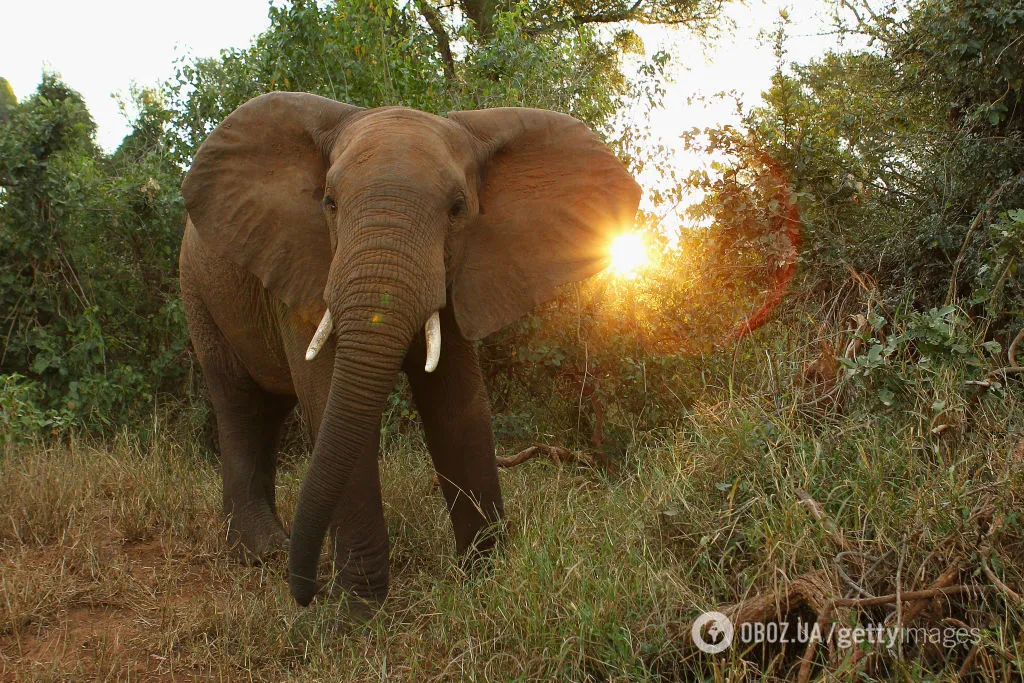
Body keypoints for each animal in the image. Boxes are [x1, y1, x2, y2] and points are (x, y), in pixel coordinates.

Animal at [177, 90, 638, 610]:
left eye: (458, 209)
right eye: (329, 203)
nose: (306, 594)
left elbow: (457, 401)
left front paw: (486, 580)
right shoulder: (304, 262)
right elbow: (328, 394)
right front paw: (358, 614)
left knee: (266, 410)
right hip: (198, 291)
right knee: (240, 404)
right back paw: (262, 553)